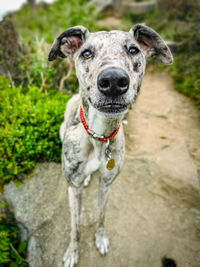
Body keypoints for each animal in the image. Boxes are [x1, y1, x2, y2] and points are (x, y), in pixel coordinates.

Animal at [48, 24, 173, 266]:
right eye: (87, 53)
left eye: (133, 50)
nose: (113, 81)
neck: (99, 136)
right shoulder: (73, 188)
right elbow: (75, 227)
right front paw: (72, 252)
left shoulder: (106, 184)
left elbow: (101, 216)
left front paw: (101, 238)